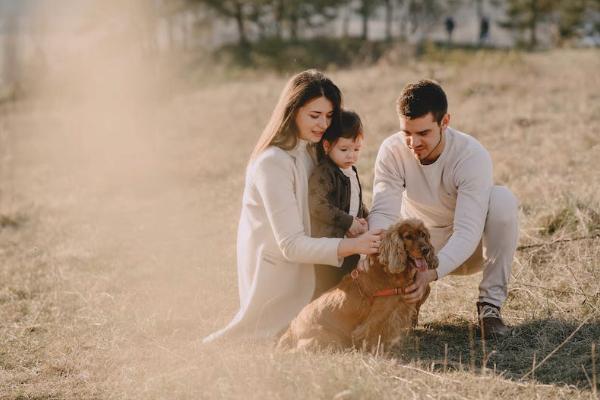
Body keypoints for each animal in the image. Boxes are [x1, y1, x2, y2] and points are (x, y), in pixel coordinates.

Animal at [276, 217, 436, 352]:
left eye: (423, 234)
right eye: (408, 237)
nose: (426, 250)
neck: (390, 272)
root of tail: (290, 331)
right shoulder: (378, 316)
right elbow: (370, 336)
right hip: (330, 339)